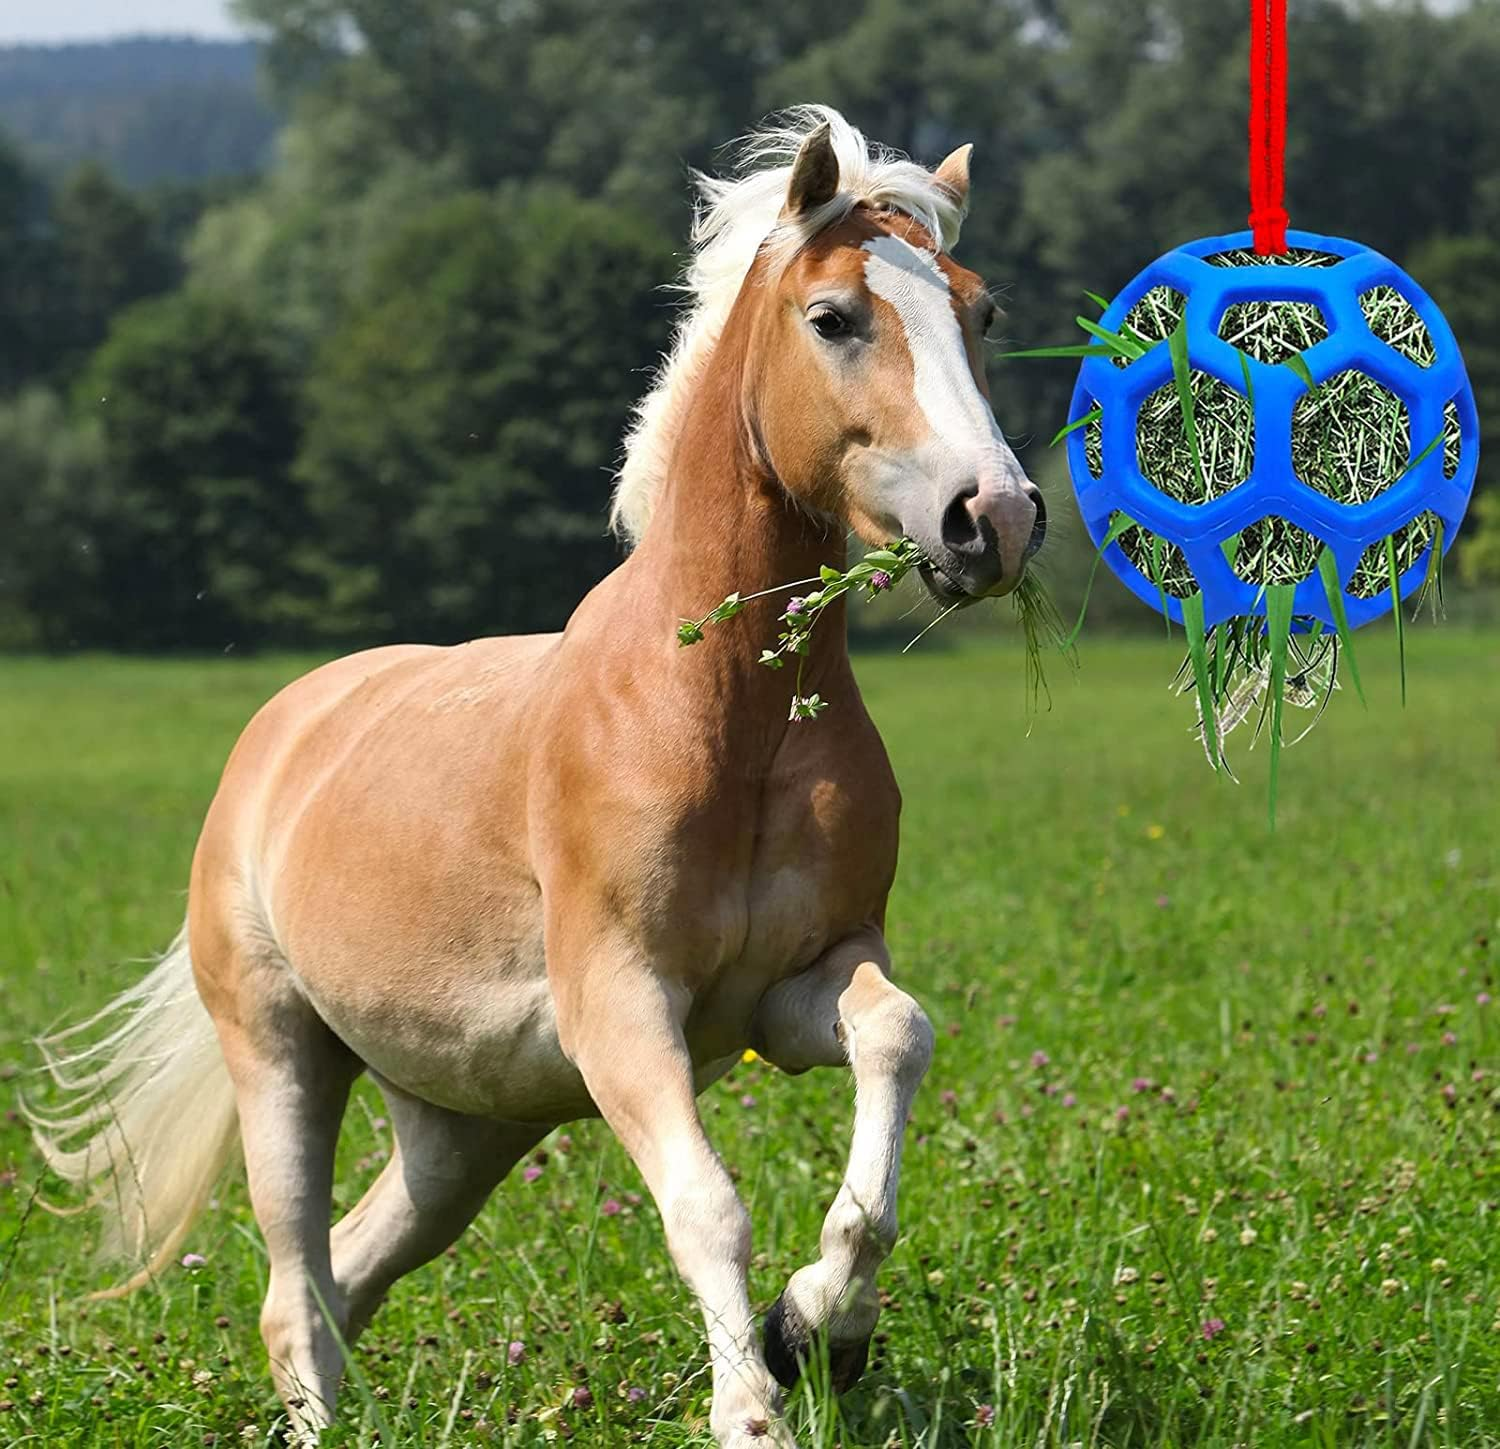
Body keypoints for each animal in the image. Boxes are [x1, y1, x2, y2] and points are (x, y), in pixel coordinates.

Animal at [27, 105, 1044, 1448]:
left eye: (982, 312)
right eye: (834, 318)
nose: (995, 518)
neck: (725, 715)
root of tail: (283, 731)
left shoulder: (795, 987)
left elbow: (895, 1042)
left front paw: (822, 1326)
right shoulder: (620, 1006)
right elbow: (708, 1208)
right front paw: (753, 1408)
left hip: (462, 1132)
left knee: (351, 1268)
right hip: (281, 1053)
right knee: (295, 1287)